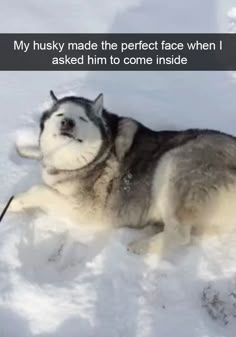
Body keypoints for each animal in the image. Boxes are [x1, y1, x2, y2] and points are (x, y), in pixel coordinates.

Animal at [3, 90, 236, 253]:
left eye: (82, 118)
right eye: (60, 114)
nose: (67, 122)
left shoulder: (87, 210)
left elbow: (38, 189)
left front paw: (12, 203)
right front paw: (25, 150)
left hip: (172, 163)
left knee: (179, 234)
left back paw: (142, 247)